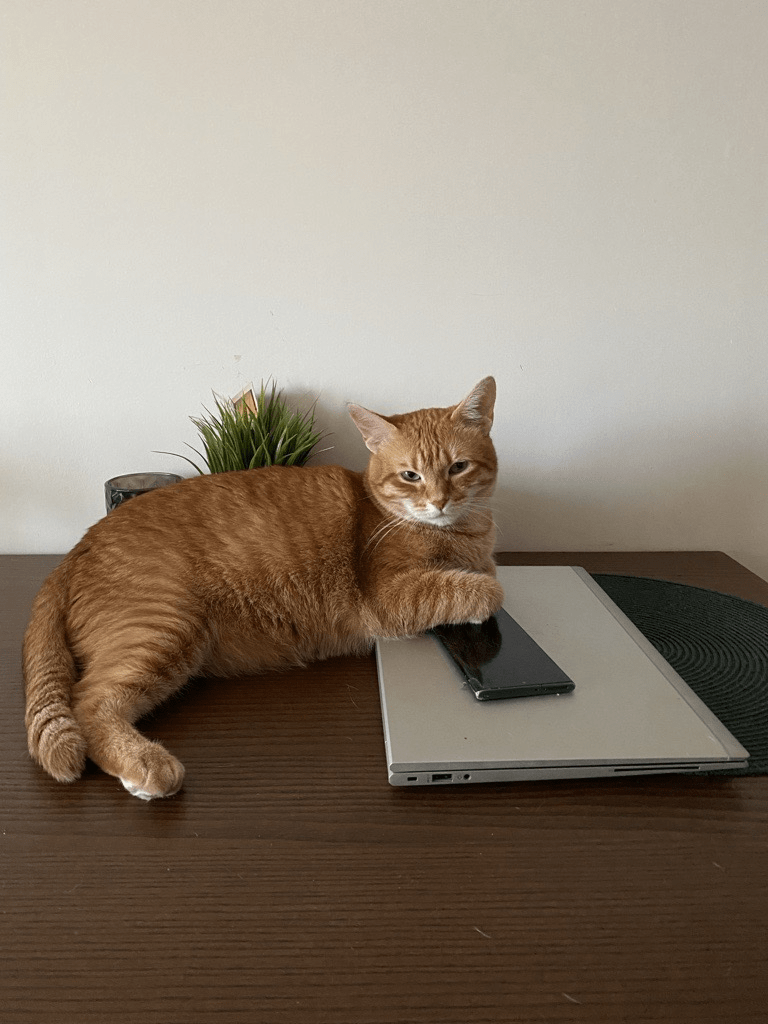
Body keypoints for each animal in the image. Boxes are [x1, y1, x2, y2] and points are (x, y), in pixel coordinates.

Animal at [22, 376, 505, 798]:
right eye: (410, 476)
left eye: (458, 467)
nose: (439, 501)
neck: (461, 534)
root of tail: (77, 547)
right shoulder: (386, 597)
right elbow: (474, 588)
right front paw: (483, 591)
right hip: (164, 626)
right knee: (88, 702)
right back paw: (147, 766)